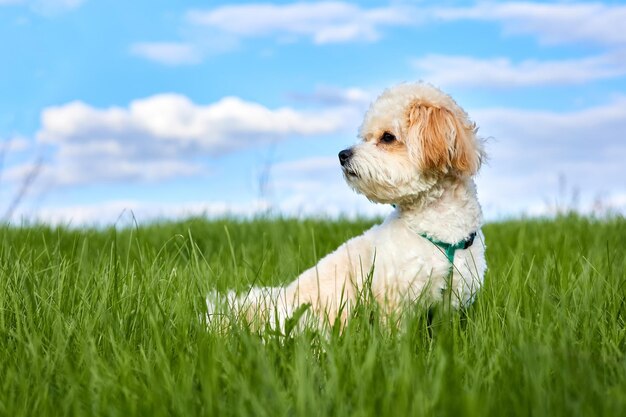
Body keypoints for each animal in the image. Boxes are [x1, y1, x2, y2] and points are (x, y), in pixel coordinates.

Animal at [207, 81, 486, 328]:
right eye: (365, 136)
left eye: (387, 137)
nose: (342, 155)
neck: (440, 228)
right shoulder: (395, 300)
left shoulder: (452, 301)